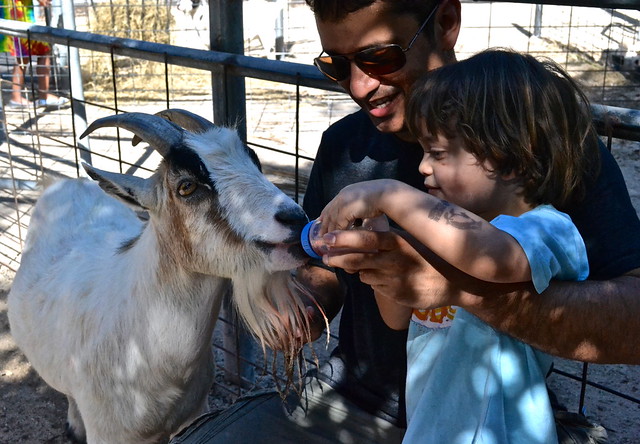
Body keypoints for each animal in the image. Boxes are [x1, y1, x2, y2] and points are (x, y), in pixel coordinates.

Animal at [7, 109, 312, 442]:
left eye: (254, 161)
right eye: (186, 186)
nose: (295, 218)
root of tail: (62, 183)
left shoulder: (192, 415)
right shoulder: (108, 432)